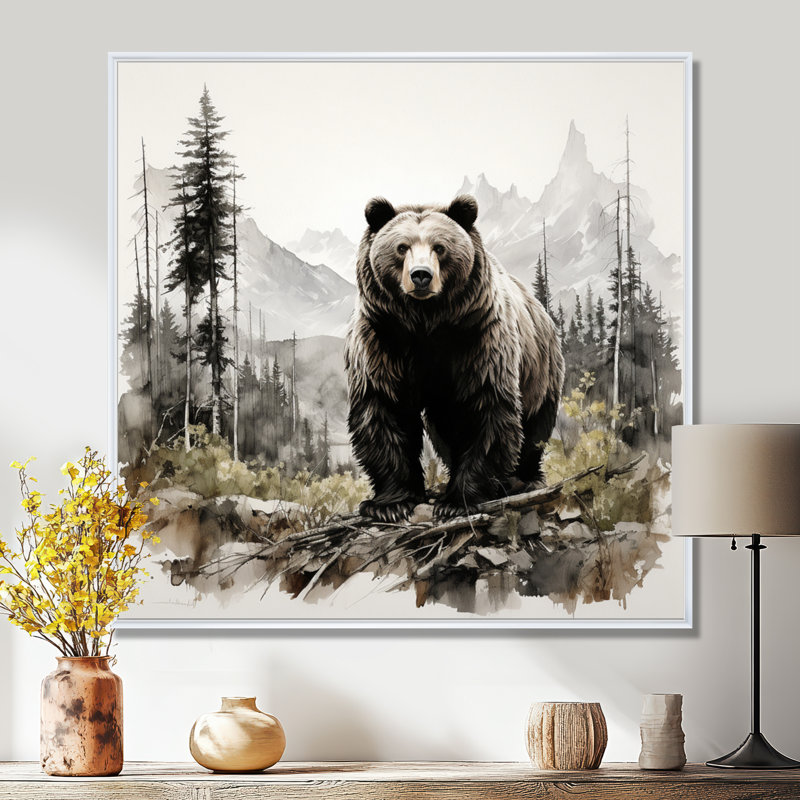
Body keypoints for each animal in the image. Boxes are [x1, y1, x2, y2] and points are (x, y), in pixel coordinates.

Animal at [344, 194, 564, 522]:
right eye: (401, 247)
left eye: (440, 247)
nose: (421, 275)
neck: (426, 322)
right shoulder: (382, 339)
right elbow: (384, 407)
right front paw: (390, 503)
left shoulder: (478, 338)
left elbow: (485, 409)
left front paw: (457, 501)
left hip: (540, 367)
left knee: (535, 426)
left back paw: (524, 480)